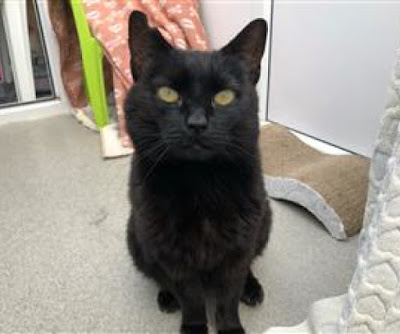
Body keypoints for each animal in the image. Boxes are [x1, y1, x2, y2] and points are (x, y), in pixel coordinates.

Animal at [126, 11, 272, 334]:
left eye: (224, 96)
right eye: (168, 94)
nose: (196, 123)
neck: (202, 183)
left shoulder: (238, 248)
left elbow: (228, 295)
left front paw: (230, 328)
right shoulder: (172, 254)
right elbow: (190, 297)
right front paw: (193, 327)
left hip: (264, 221)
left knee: (249, 267)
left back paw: (252, 289)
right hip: (136, 236)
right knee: (159, 276)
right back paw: (167, 297)